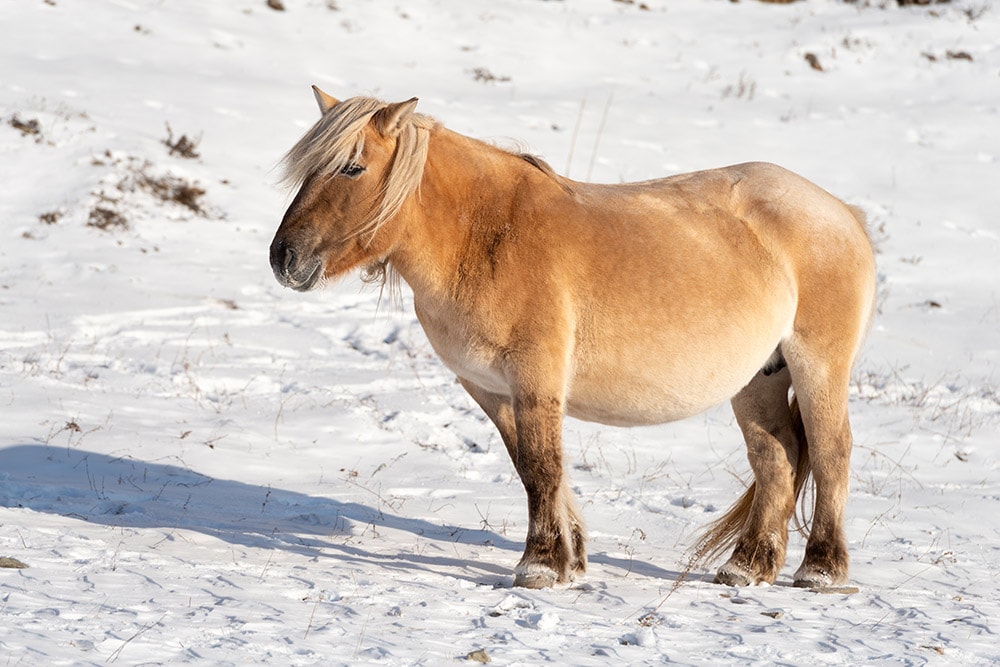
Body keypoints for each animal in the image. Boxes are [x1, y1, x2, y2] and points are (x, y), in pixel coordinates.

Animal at [269, 88, 876, 590]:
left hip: (817, 365)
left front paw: (538, 566)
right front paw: (570, 557)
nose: (283, 259)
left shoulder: (535, 376)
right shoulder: (490, 388)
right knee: (776, 457)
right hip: (758, 378)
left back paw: (821, 570)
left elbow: (543, 466)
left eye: (352, 167)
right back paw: (746, 567)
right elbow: (531, 468)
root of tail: (843, 213)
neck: (486, 236)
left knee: (830, 451)